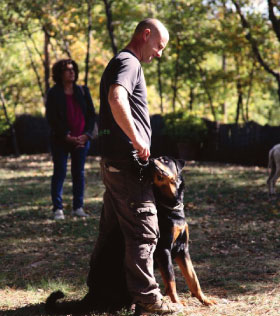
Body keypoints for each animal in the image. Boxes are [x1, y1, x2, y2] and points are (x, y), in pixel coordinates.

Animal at [44, 156, 215, 314]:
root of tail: (89, 296)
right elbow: (171, 281)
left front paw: (206, 300)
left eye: (164, 160)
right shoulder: (164, 250)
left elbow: (193, 279)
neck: (169, 204)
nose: (150, 160)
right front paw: (177, 303)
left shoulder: (182, 249)